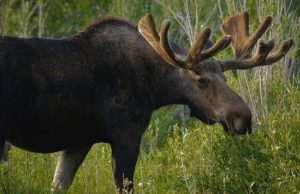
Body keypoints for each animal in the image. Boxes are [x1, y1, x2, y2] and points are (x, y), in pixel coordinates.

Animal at [0, 11, 292, 192]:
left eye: (225, 76)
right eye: (201, 80)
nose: (243, 118)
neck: (156, 89)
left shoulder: (78, 142)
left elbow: (58, 183)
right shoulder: (126, 136)